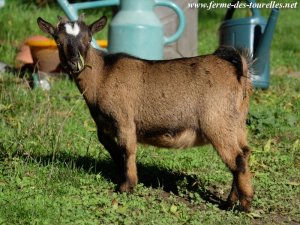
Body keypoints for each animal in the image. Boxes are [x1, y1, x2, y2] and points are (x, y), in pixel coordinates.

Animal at [37, 14, 253, 212]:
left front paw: (126, 187)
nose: (75, 63)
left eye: (88, 39)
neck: (103, 74)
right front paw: (122, 179)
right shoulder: (103, 127)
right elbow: (115, 152)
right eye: (58, 40)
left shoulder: (124, 119)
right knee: (244, 153)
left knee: (237, 160)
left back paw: (244, 205)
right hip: (237, 123)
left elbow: (127, 149)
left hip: (217, 122)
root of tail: (238, 72)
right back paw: (231, 201)